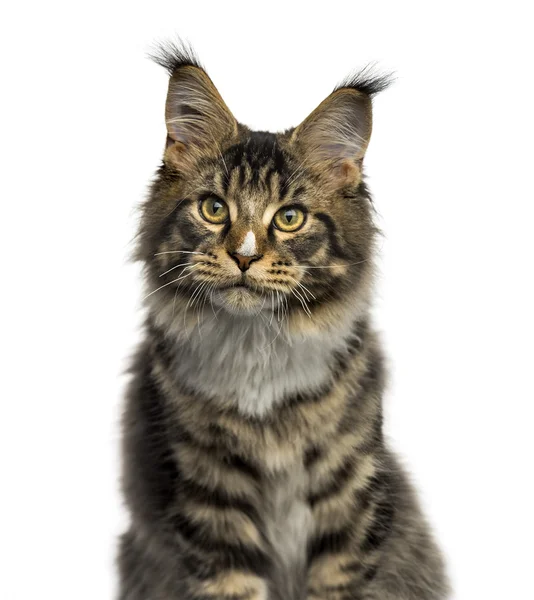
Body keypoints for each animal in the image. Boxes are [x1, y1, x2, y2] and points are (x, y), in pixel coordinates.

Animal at [118, 43, 452, 600]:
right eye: (214, 209)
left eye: (289, 218)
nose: (244, 256)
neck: (258, 350)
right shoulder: (211, 499)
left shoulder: (348, 496)